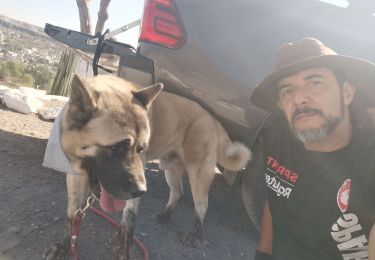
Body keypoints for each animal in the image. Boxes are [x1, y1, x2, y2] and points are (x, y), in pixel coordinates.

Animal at [43, 74, 250, 258]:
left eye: (141, 148)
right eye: (117, 147)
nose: (142, 191)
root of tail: (211, 117)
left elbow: (129, 221)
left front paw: (122, 250)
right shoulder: (75, 176)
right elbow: (73, 215)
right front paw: (64, 245)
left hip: (199, 173)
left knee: (202, 204)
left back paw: (195, 234)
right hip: (171, 169)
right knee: (178, 192)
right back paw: (166, 214)